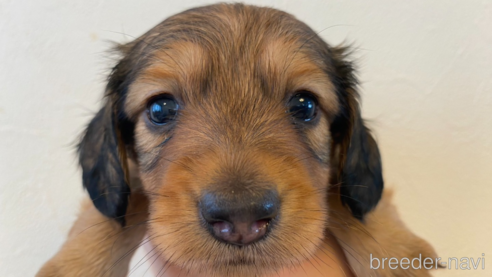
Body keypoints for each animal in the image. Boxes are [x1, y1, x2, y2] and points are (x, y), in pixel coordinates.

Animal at [38, 2, 438, 276]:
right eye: (160, 108)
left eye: (305, 105)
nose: (242, 221)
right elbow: (113, 206)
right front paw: (74, 264)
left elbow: (346, 197)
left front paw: (394, 252)